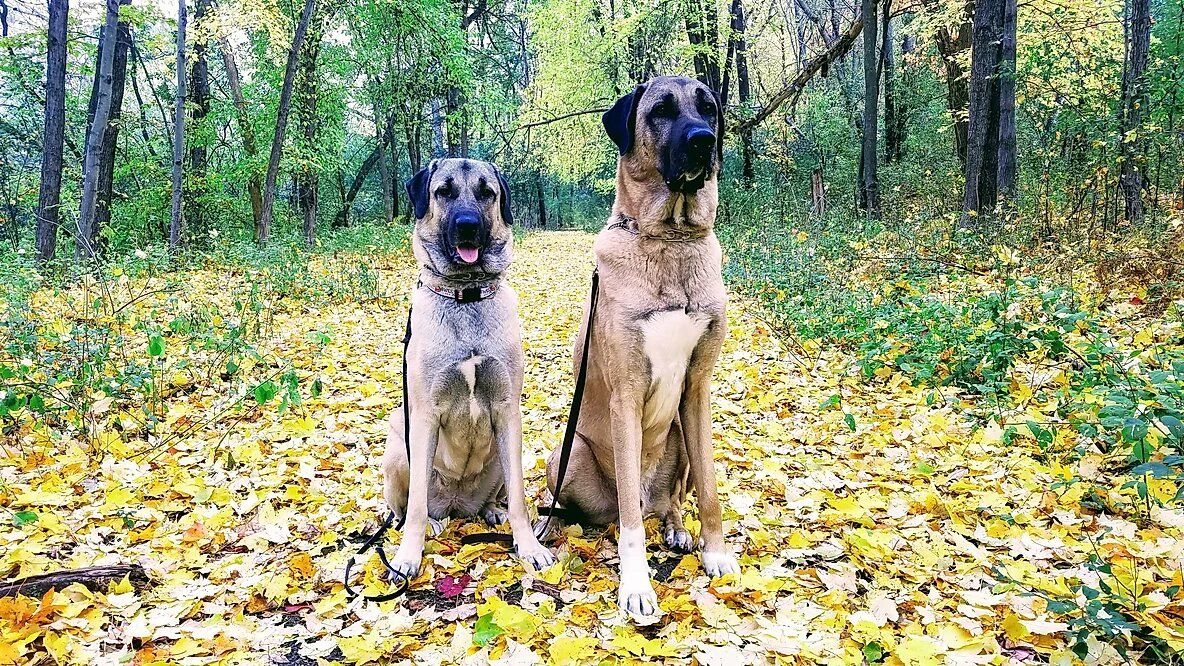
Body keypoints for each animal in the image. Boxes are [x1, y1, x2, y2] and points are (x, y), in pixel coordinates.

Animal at [383, 157, 558, 573]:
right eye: (443, 191)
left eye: (486, 193)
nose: (467, 225)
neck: (467, 294)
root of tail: (457, 506)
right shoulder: (425, 415)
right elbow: (415, 506)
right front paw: (409, 554)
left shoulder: (507, 411)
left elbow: (519, 498)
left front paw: (529, 546)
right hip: (398, 451)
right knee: (405, 508)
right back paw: (427, 523)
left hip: (499, 455)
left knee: (498, 494)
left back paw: (492, 511)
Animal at [539, 76, 738, 611]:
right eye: (660, 111)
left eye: (709, 109)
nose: (704, 141)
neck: (671, 240)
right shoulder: (625, 395)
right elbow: (628, 521)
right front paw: (636, 585)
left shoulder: (697, 390)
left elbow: (710, 491)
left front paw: (716, 553)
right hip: (566, 455)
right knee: (600, 511)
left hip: (681, 437)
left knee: (670, 500)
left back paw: (676, 528)